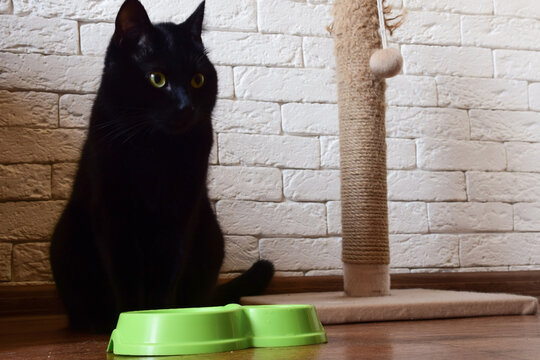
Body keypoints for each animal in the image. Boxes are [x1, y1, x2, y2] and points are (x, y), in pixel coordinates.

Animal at [49, 0, 274, 332]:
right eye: (157, 78)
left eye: (198, 80)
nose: (186, 106)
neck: (155, 150)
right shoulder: (114, 213)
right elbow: (125, 272)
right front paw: (131, 320)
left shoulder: (181, 212)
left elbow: (167, 271)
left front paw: (162, 318)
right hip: (66, 238)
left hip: (211, 236)